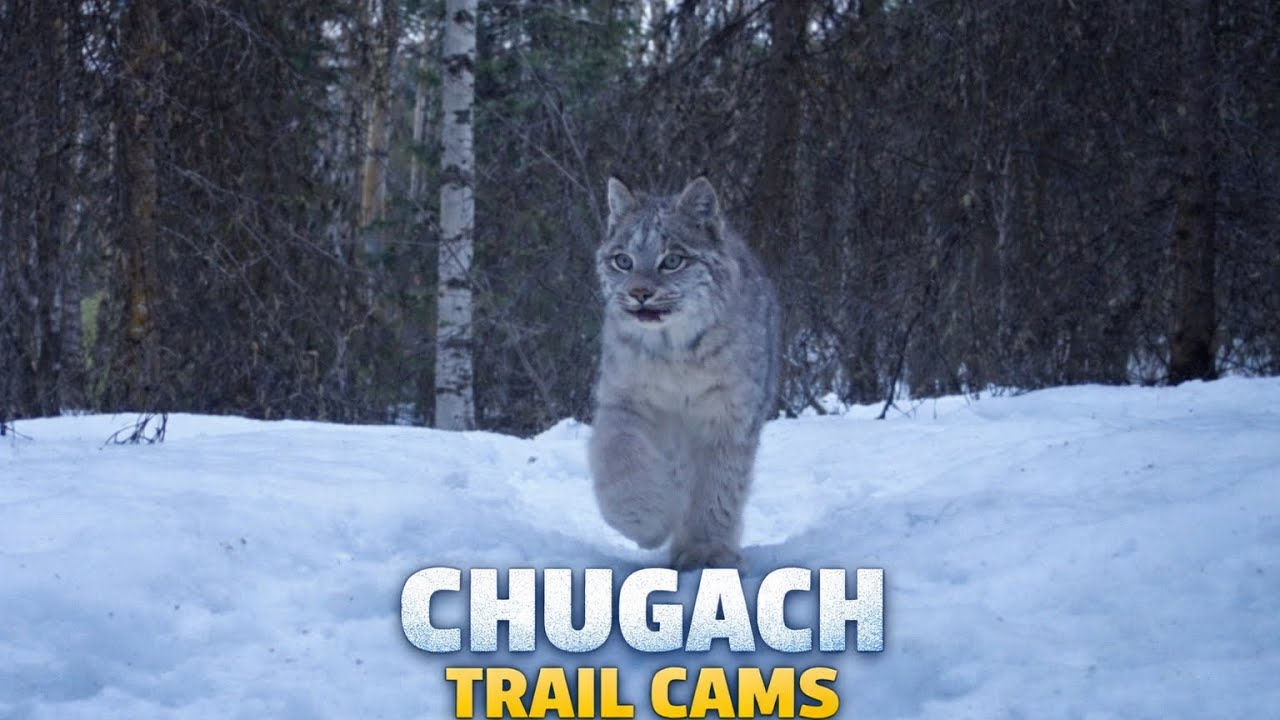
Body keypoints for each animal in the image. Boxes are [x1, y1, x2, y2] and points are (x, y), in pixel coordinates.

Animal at [589, 176, 780, 569]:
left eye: (673, 261)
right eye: (623, 261)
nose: (639, 293)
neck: (675, 353)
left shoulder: (730, 414)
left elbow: (720, 483)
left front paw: (706, 551)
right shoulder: (624, 399)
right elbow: (618, 456)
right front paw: (648, 521)